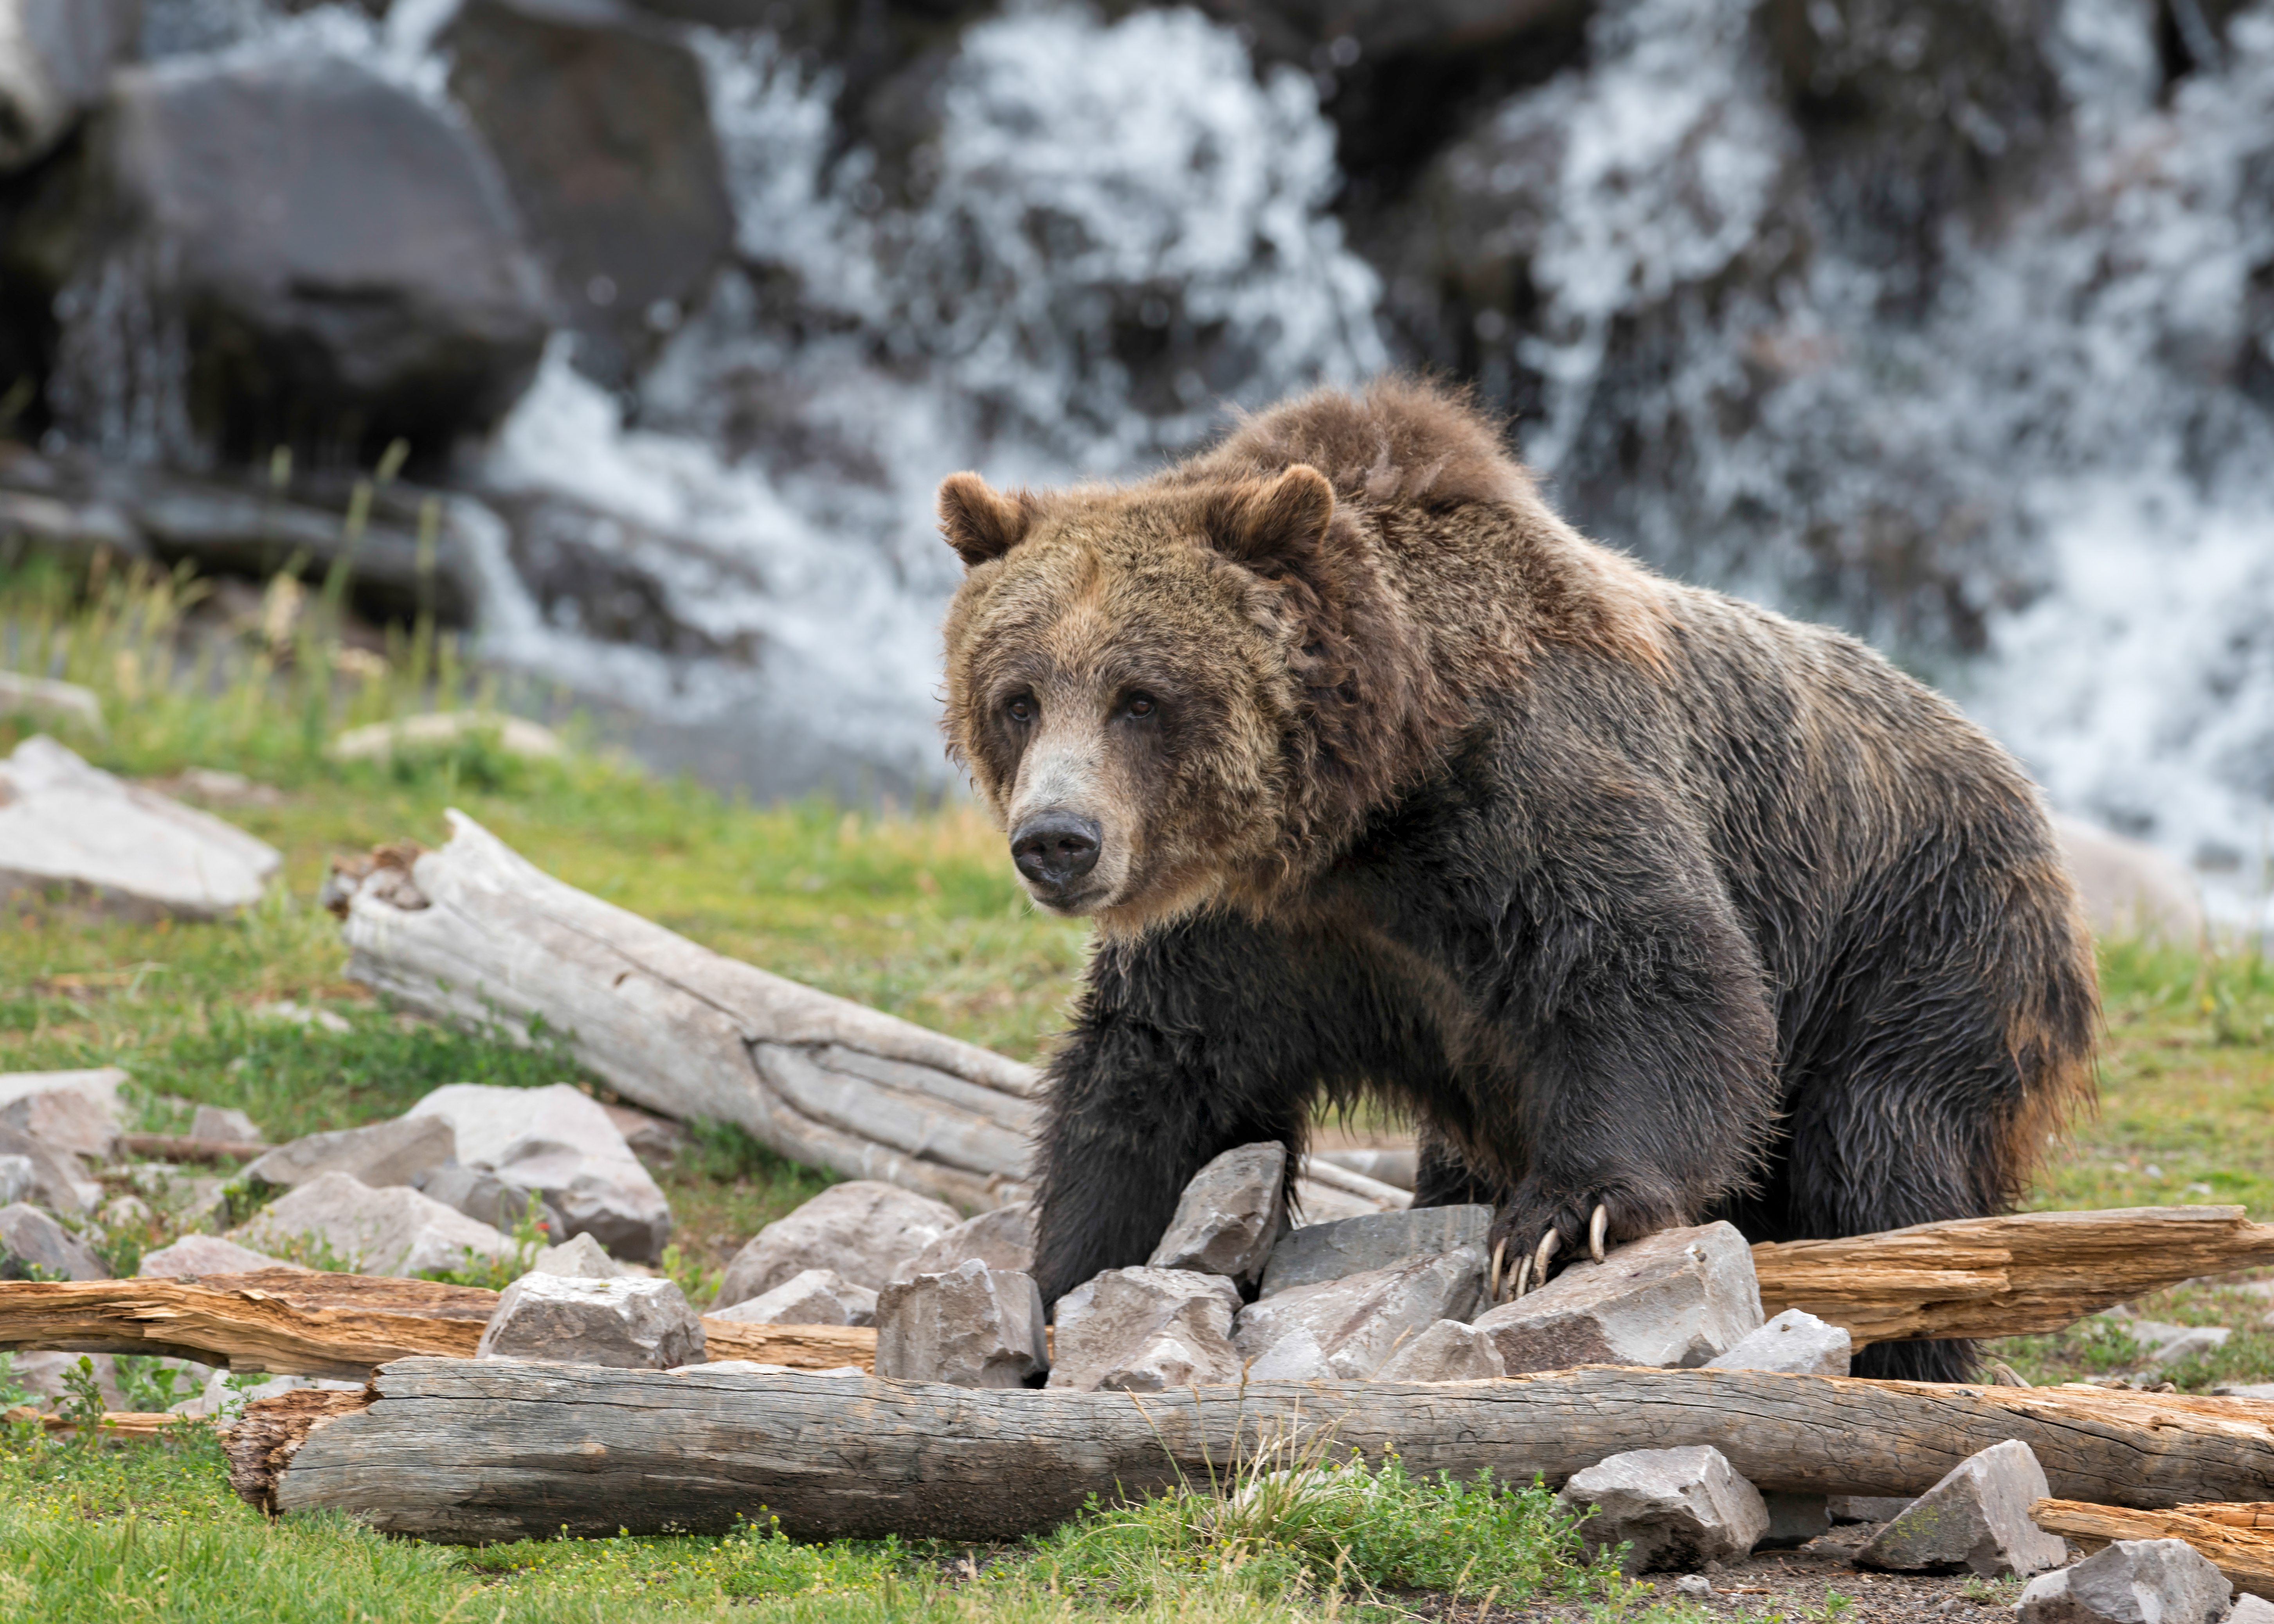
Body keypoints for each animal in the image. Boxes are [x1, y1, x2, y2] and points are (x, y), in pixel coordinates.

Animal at [936, 378, 2098, 1382]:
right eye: (1018, 695)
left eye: (1141, 696)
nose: (1057, 839)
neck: (1361, 811)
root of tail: (2015, 781)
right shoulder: (1256, 935)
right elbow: (1156, 1081)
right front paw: (1063, 1282)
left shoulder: (1521, 802)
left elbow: (1656, 978)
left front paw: (1557, 1222)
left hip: (1923, 939)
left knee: (1885, 1154)